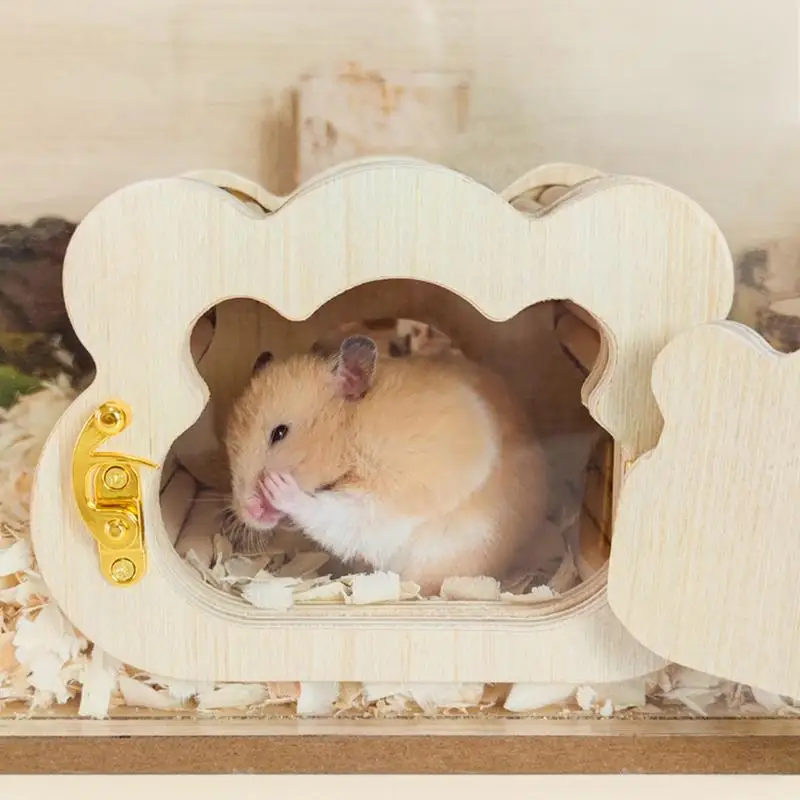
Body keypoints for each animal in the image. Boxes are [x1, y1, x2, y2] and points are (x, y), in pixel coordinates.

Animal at [225, 336, 548, 595]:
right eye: (230, 445)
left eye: (280, 433)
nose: (250, 511)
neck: (350, 437)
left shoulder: (392, 491)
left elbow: (338, 513)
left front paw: (279, 486)